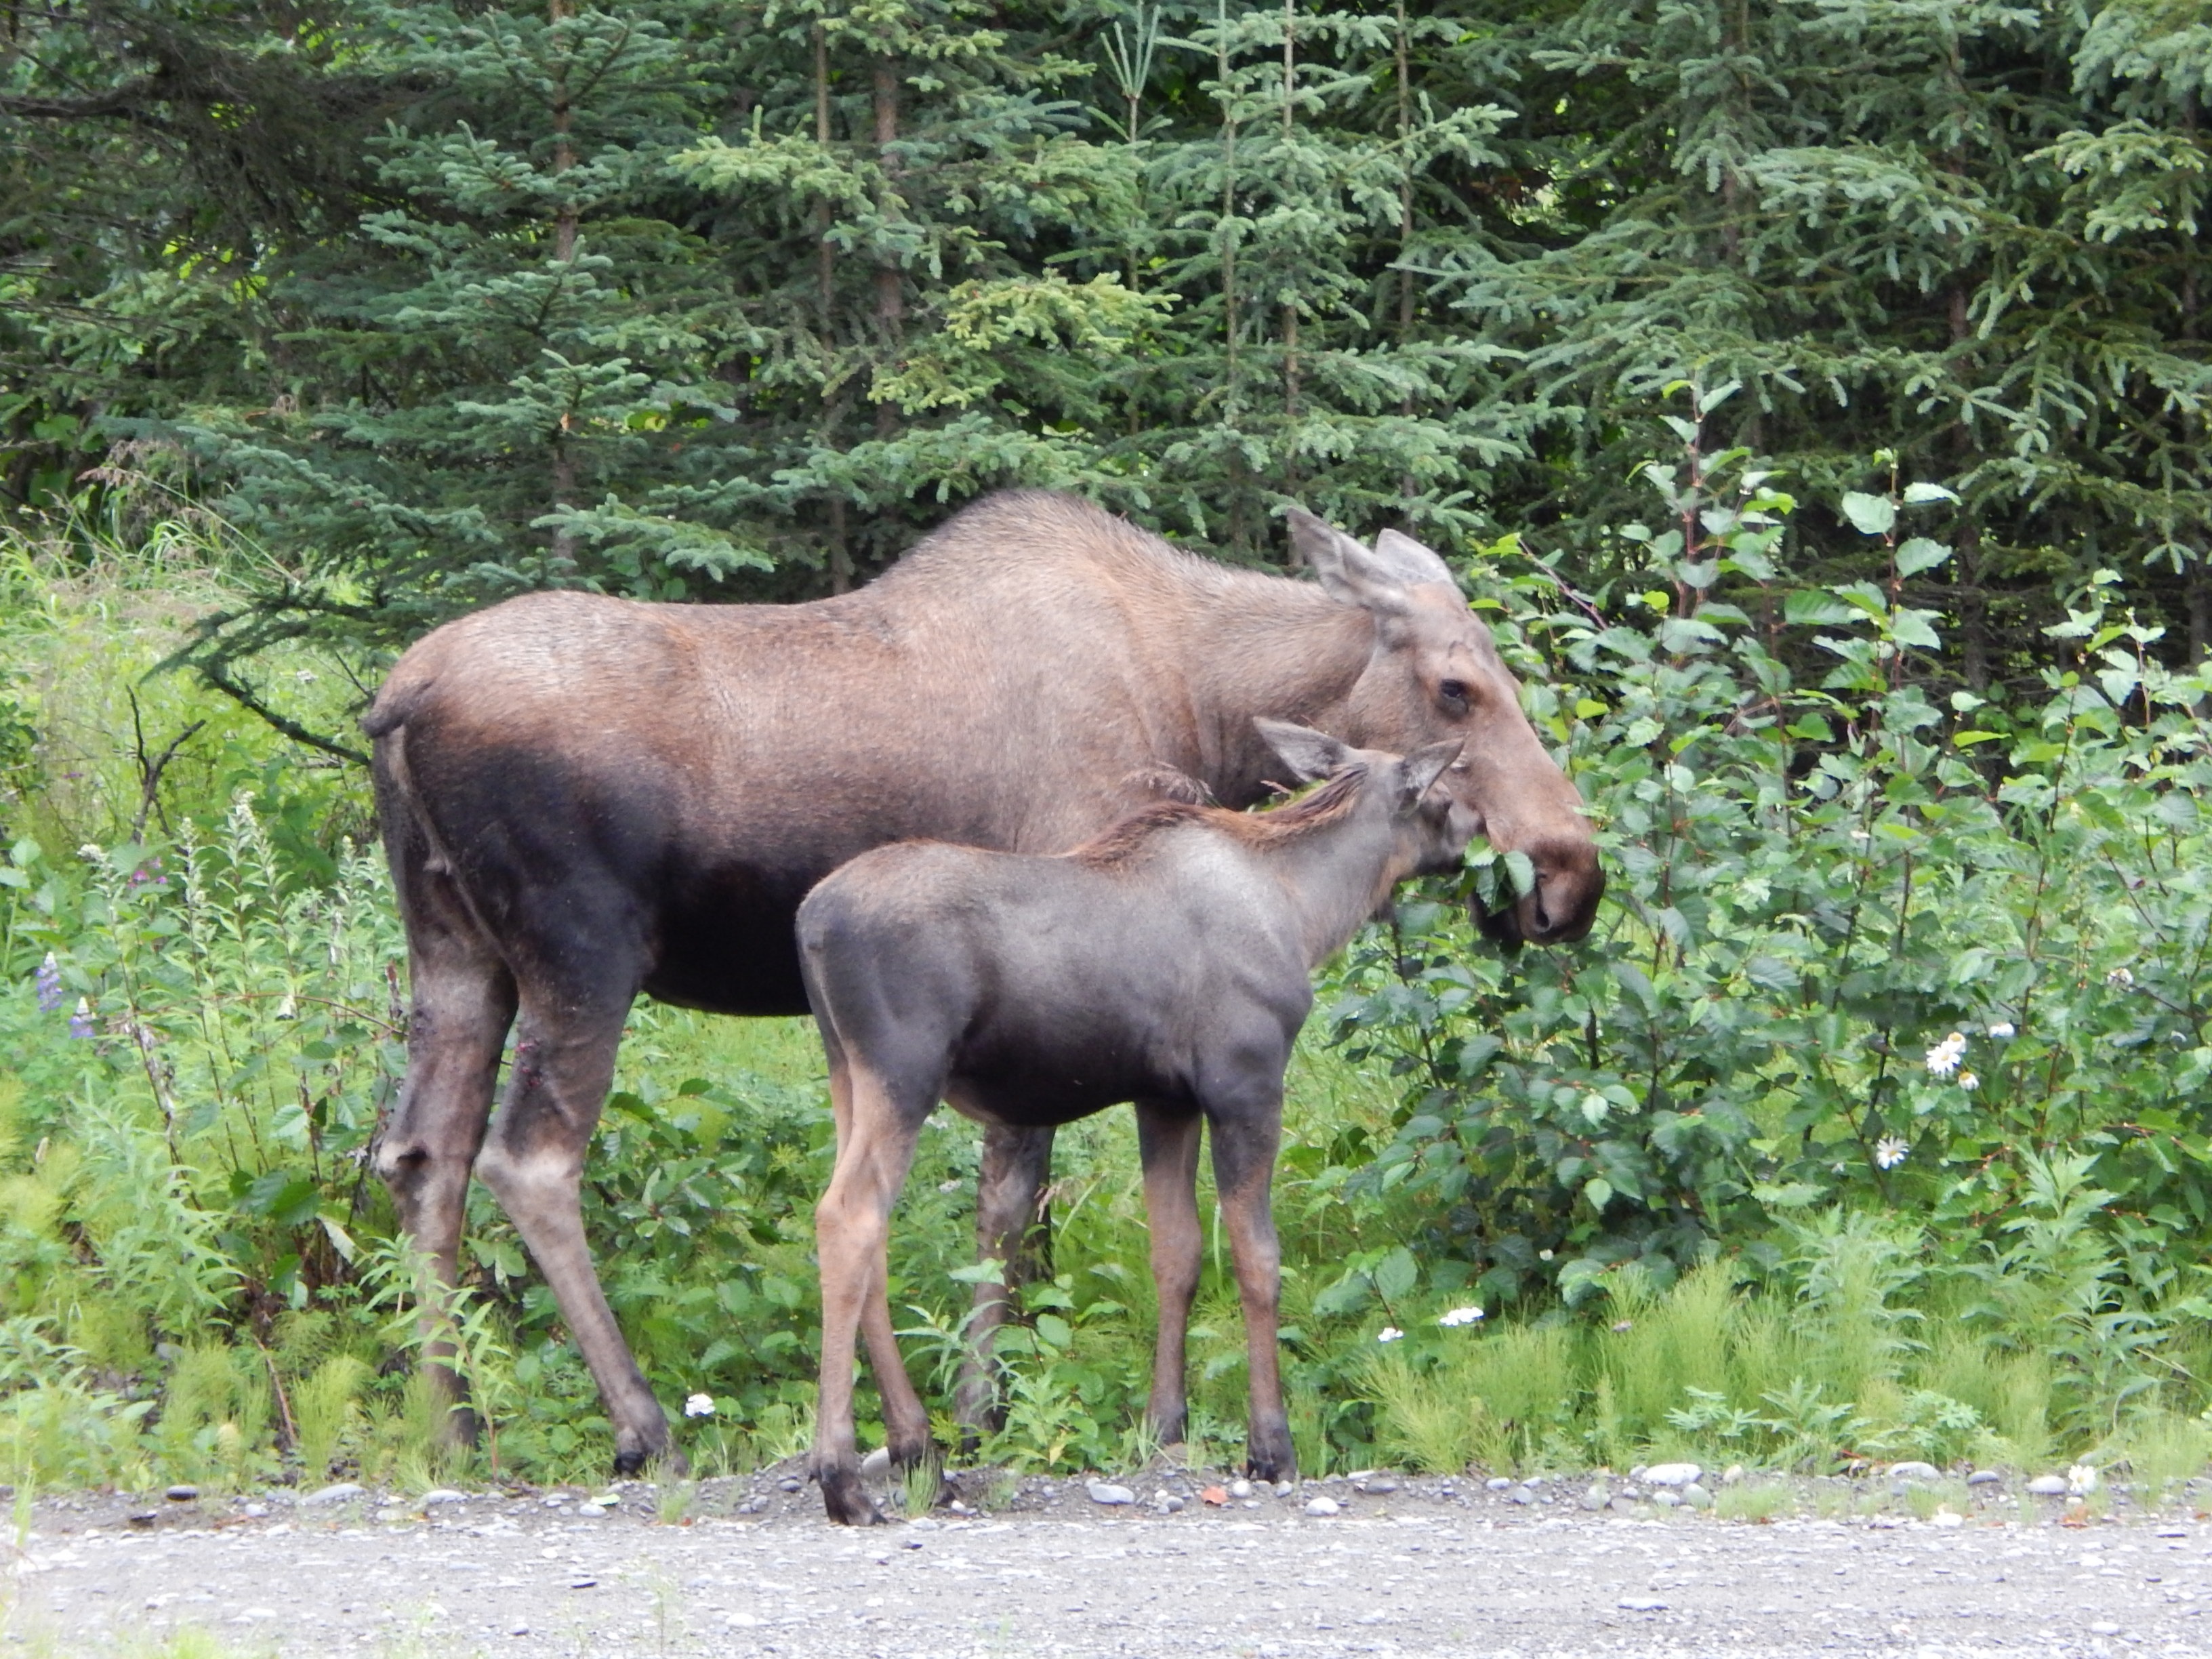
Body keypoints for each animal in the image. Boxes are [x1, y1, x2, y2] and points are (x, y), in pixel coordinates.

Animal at [367, 487, 1610, 1477]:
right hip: (582, 952)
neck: (1200, 707)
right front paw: (982, 1403)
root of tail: (396, 702)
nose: (1568, 874)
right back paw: (641, 1423)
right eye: (1456, 688)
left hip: (454, 949)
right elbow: (1013, 1198)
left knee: (419, 1155)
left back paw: (453, 1422)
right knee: (530, 1159)